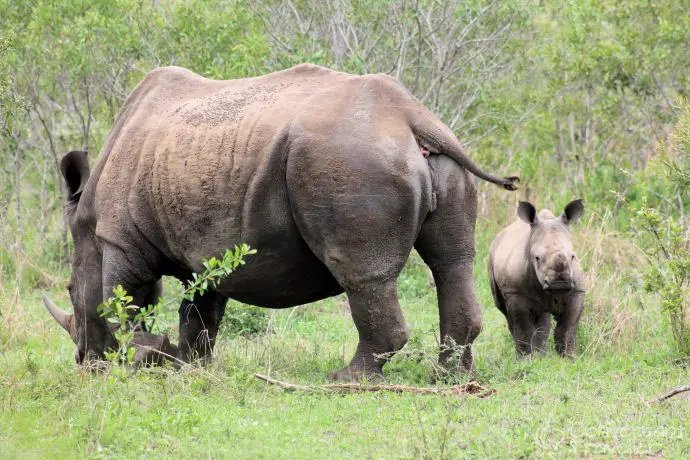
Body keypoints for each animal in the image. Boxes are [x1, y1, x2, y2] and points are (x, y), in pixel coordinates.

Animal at [44, 64, 516, 380]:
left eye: (67, 289)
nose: (84, 363)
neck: (86, 219)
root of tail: (411, 118)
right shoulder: (208, 248)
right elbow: (200, 311)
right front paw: (191, 366)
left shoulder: (120, 240)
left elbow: (122, 302)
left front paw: (142, 360)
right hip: (426, 161)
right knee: (452, 261)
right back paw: (451, 378)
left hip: (346, 160)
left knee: (362, 274)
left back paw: (347, 380)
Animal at [486, 200, 584, 356]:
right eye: (536, 258)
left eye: (573, 256)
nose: (559, 284)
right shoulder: (515, 293)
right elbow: (524, 331)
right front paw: (526, 358)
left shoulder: (576, 291)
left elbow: (567, 329)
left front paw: (569, 357)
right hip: (491, 256)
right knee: (507, 313)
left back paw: (541, 354)